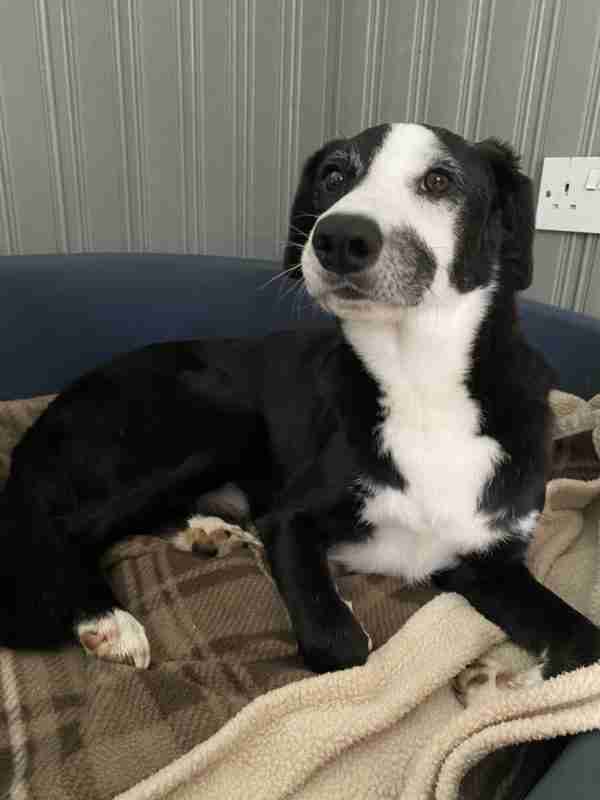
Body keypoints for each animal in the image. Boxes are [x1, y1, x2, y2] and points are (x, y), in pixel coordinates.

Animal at [1, 122, 599, 677]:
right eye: (333, 176)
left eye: (439, 181)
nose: (337, 238)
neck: (419, 380)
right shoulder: (290, 522)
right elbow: (341, 646)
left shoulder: (491, 561)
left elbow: (581, 649)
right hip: (212, 423)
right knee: (68, 527)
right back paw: (104, 618)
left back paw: (205, 531)